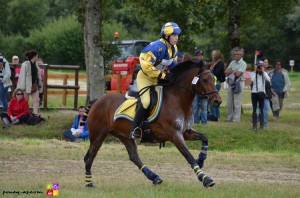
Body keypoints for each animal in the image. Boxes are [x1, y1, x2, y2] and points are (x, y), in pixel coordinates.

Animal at [83, 59, 221, 188]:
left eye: (214, 79)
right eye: (204, 80)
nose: (217, 101)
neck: (177, 100)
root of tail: (97, 101)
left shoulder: (185, 132)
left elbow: (204, 138)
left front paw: (201, 160)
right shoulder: (174, 134)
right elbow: (188, 155)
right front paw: (205, 178)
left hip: (124, 136)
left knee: (134, 157)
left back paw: (155, 177)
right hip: (98, 135)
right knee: (89, 157)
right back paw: (89, 183)